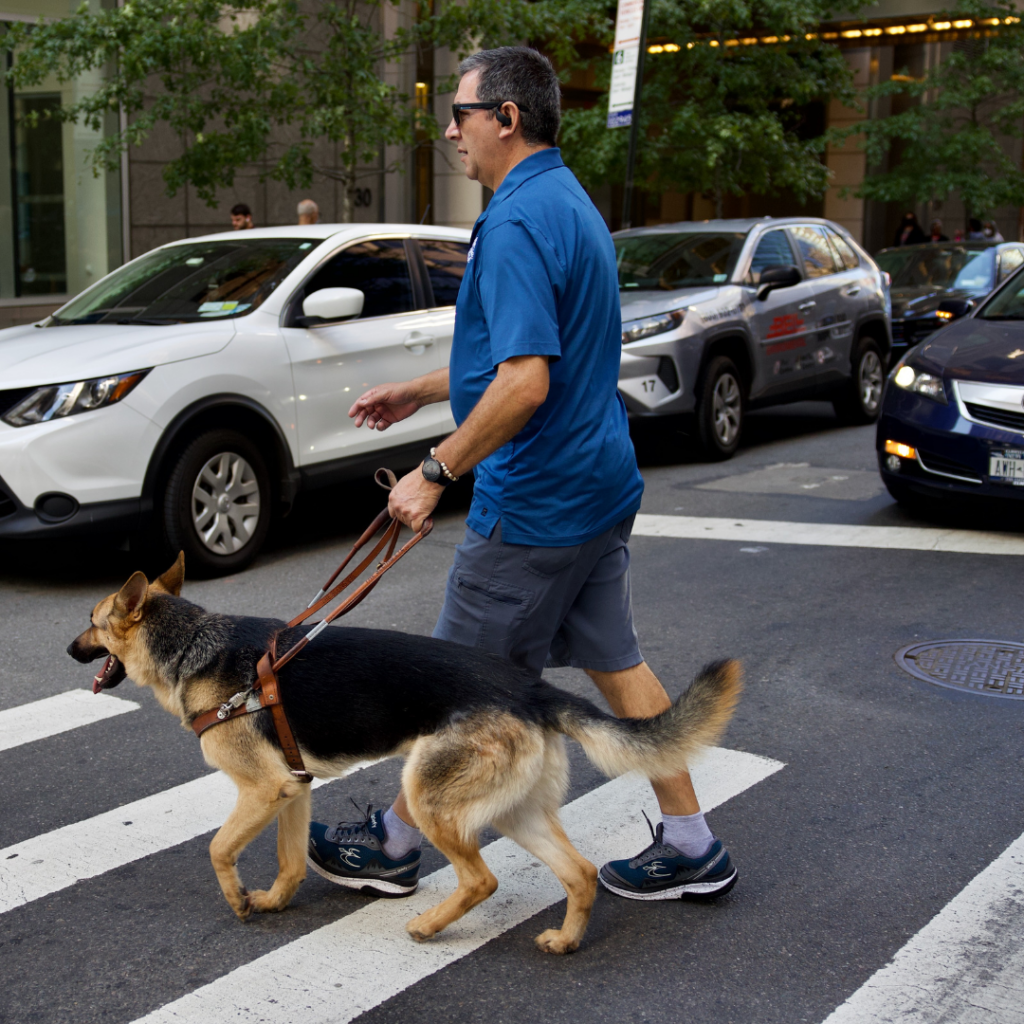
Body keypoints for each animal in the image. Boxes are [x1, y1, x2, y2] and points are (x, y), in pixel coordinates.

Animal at [70, 557, 745, 954]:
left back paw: (428, 926)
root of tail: (532, 688)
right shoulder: (292, 788)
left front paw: (238, 900)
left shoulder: (262, 790)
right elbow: (288, 862)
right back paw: (565, 941)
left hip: (429, 798)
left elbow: (217, 848)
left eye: (92, 621)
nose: (68, 649)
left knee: (482, 878)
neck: (191, 644)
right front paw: (273, 902)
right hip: (514, 811)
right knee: (577, 873)